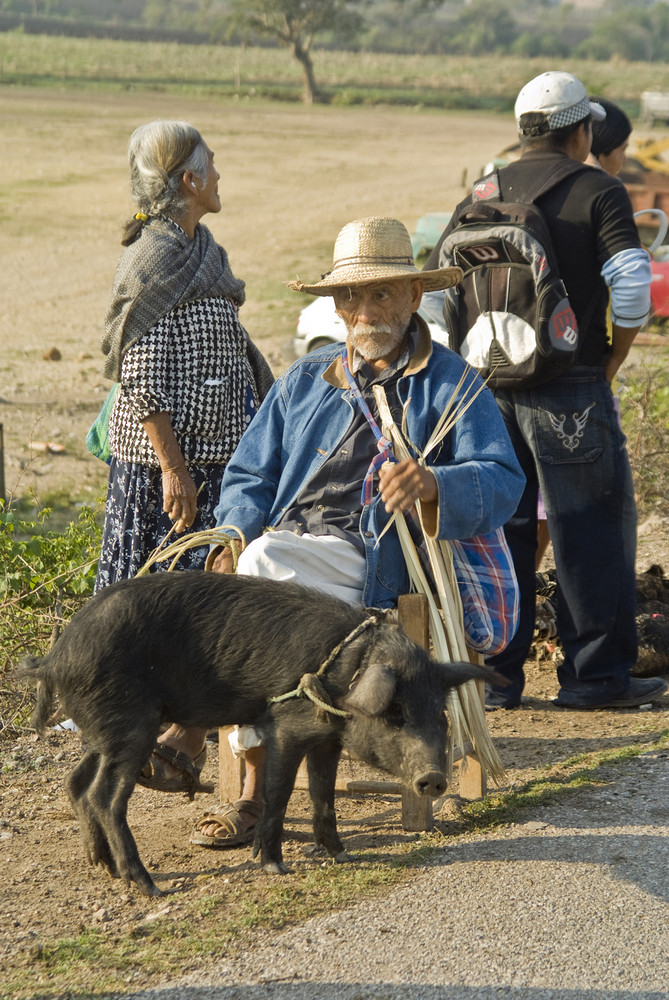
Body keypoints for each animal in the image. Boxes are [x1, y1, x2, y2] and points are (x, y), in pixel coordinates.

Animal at [15, 572, 496, 900]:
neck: (343, 678)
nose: (434, 778)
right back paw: (148, 885)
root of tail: (55, 657)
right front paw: (273, 867)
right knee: (104, 795)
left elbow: (324, 796)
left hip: (103, 731)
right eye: (395, 713)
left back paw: (104, 866)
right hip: (131, 724)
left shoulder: (327, 738)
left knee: (76, 782)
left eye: (440, 715)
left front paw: (342, 856)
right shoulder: (286, 725)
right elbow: (278, 793)